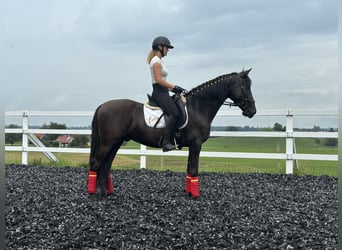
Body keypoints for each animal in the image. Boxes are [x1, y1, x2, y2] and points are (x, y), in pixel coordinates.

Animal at [88, 68, 256, 197]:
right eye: (245, 87)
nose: (252, 111)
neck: (197, 107)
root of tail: (102, 106)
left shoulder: (193, 146)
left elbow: (189, 170)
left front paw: (189, 193)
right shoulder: (196, 144)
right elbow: (194, 170)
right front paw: (196, 196)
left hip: (115, 142)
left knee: (106, 165)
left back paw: (106, 192)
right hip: (108, 143)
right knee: (97, 163)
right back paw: (95, 193)